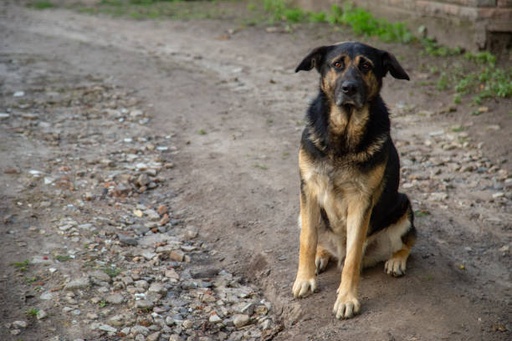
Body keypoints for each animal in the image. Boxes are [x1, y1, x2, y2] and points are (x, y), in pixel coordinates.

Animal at [292, 41, 416, 318]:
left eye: (366, 66)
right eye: (337, 64)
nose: (350, 88)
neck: (343, 137)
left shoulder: (361, 203)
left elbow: (352, 257)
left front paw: (347, 299)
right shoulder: (309, 190)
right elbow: (307, 241)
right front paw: (304, 279)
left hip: (404, 209)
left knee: (408, 241)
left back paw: (396, 260)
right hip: (304, 214)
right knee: (316, 237)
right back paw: (321, 255)